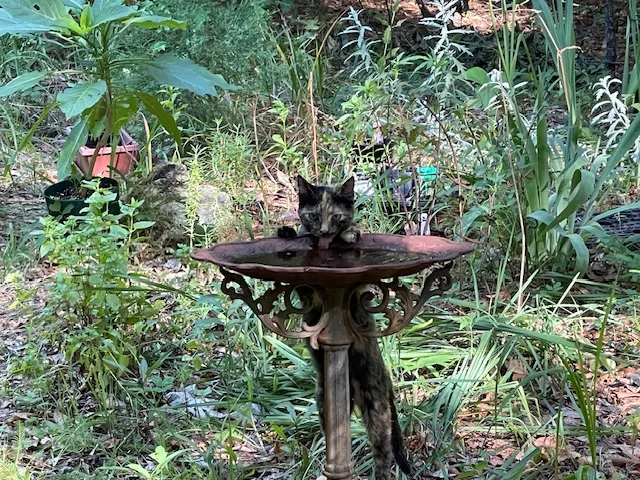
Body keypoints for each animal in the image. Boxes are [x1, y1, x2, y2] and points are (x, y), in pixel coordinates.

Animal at [276, 176, 410, 480]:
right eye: (314, 216)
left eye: (336, 217)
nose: (325, 231)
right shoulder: (305, 291)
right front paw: (287, 231)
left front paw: (351, 232)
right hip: (324, 402)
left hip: (376, 407)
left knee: (383, 456)